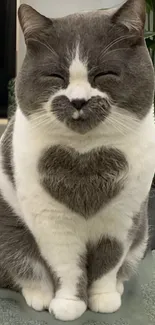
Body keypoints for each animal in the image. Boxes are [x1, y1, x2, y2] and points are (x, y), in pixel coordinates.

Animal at [0, 0, 155, 320]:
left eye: (105, 74)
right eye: (55, 77)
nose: (78, 101)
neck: (86, 157)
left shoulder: (123, 218)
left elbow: (109, 262)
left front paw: (103, 297)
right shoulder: (52, 221)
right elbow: (67, 265)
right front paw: (69, 303)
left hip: (142, 233)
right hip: (9, 230)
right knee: (23, 267)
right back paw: (40, 295)